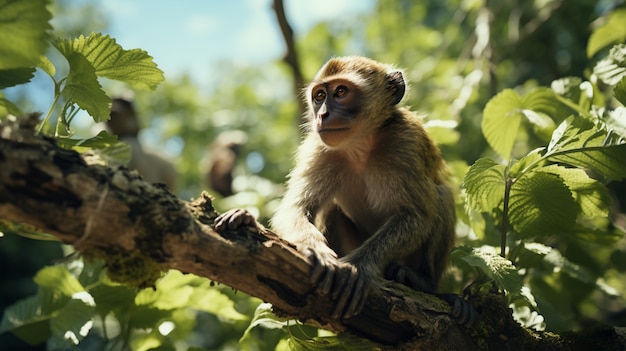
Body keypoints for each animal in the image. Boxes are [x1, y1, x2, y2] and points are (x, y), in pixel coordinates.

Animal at [214, 56, 472, 326]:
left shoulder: (407, 142)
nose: (323, 114)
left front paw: (358, 267)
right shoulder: (318, 150)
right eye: (319, 96)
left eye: (341, 92)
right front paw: (315, 249)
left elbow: (417, 214)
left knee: (442, 196)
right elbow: (295, 208)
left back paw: (423, 282)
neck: (360, 146)